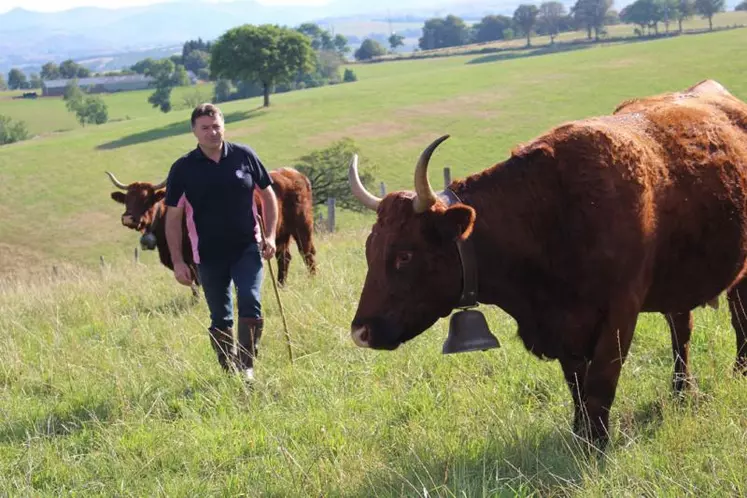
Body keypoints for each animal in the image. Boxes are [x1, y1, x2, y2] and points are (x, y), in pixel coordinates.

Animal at [108, 166, 316, 286]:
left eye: (146, 199)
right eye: (127, 200)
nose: (128, 218)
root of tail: (294, 173)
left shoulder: (196, 260)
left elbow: (198, 283)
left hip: (302, 227)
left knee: (307, 253)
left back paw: (312, 279)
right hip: (280, 234)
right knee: (284, 257)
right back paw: (281, 285)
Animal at [348, 80, 747, 448]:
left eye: (404, 255)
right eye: (369, 250)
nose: (360, 332)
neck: (551, 212)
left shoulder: (619, 315)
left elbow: (600, 385)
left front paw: (596, 447)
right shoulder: (564, 331)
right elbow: (577, 386)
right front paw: (581, 433)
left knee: (737, 316)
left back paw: (739, 372)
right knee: (682, 330)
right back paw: (682, 391)